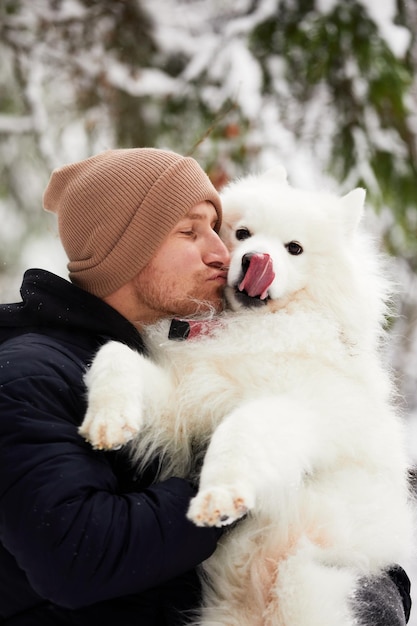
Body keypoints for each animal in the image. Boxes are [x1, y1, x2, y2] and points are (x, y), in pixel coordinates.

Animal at [79, 166, 412, 624]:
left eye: (294, 249)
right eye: (242, 233)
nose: (256, 260)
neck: (250, 330)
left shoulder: (298, 410)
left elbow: (241, 429)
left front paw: (219, 496)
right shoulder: (185, 398)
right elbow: (113, 354)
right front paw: (108, 418)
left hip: (309, 585)